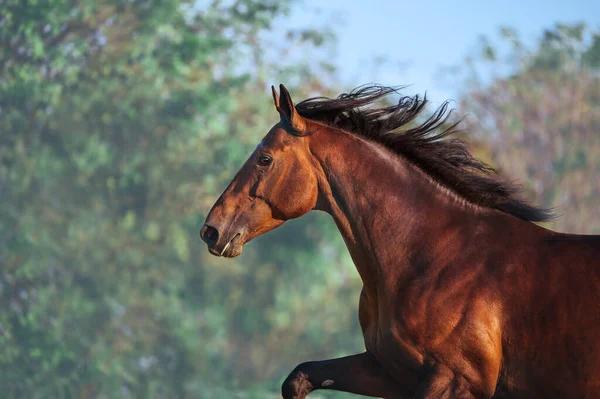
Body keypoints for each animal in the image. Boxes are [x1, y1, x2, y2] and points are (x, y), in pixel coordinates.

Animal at [200, 84, 600, 399]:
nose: (211, 231)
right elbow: (298, 378)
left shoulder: (455, 381)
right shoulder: (390, 372)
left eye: (265, 158)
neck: (434, 255)